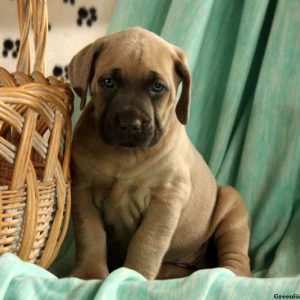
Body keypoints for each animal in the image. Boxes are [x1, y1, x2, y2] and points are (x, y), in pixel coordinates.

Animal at [68, 27, 251, 280]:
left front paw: (134, 274)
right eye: (108, 82)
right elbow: (91, 235)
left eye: (157, 87)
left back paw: (225, 274)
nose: (129, 124)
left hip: (232, 206)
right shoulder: (83, 190)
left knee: (238, 257)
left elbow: (146, 241)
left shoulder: (166, 198)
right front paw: (89, 273)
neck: (125, 155)